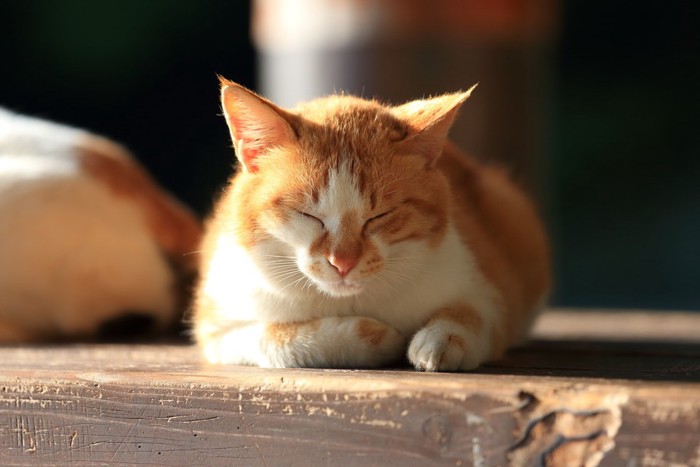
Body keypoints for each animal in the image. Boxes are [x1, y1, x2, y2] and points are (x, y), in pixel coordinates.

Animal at [193, 80, 552, 372]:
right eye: (308, 215)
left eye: (379, 216)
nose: (343, 262)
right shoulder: (215, 330)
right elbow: (275, 339)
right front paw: (378, 337)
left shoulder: (490, 294)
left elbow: (471, 315)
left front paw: (439, 340)